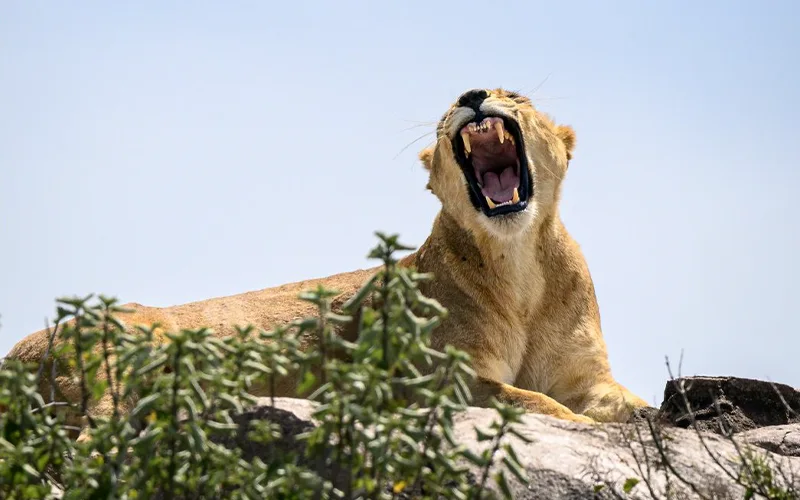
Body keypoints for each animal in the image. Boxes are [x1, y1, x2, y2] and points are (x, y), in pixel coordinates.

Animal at [6, 87, 648, 434]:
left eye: (516, 95)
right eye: (449, 106)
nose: (471, 97)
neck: (518, 267)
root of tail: (15, 354)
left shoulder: (585, 376)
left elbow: (624, 404)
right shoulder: (439, 380)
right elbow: (533, 402)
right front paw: (580, 427)